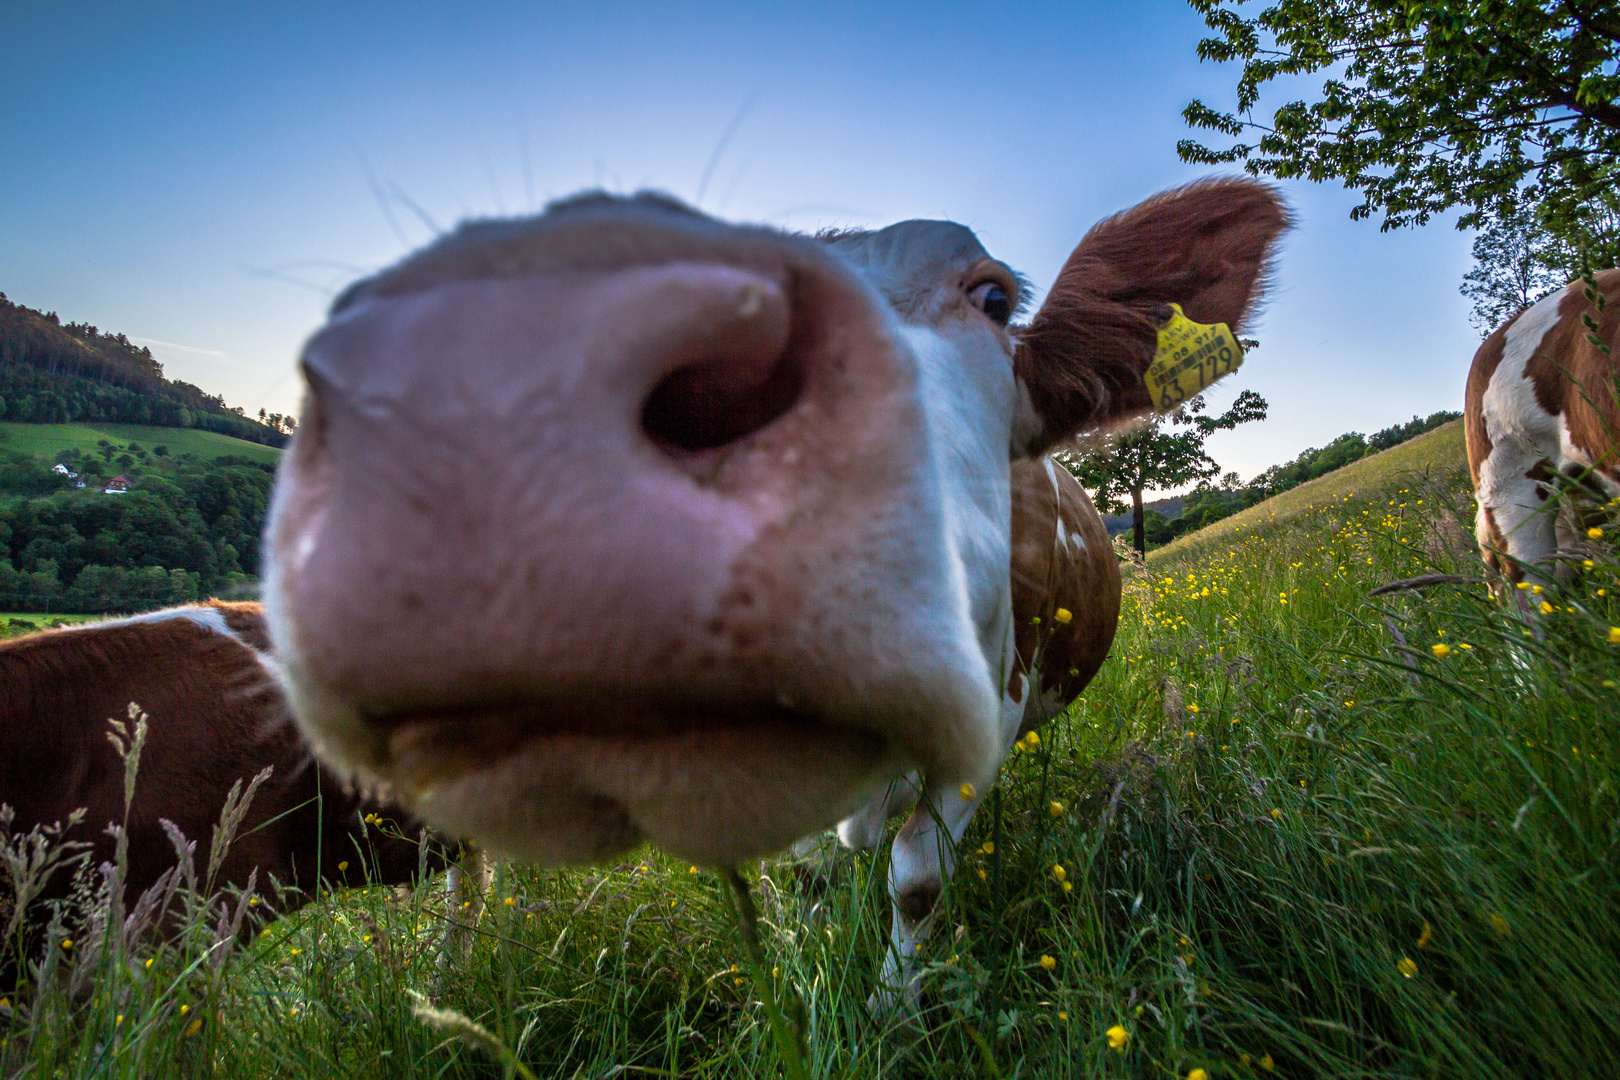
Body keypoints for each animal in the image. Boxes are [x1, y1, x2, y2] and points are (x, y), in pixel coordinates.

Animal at [262, 177, 1289, 997]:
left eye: (993, 296)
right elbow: (804, 879)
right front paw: (810, 972)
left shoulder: (988, 724)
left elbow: (918, 879)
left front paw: (891, 1008)